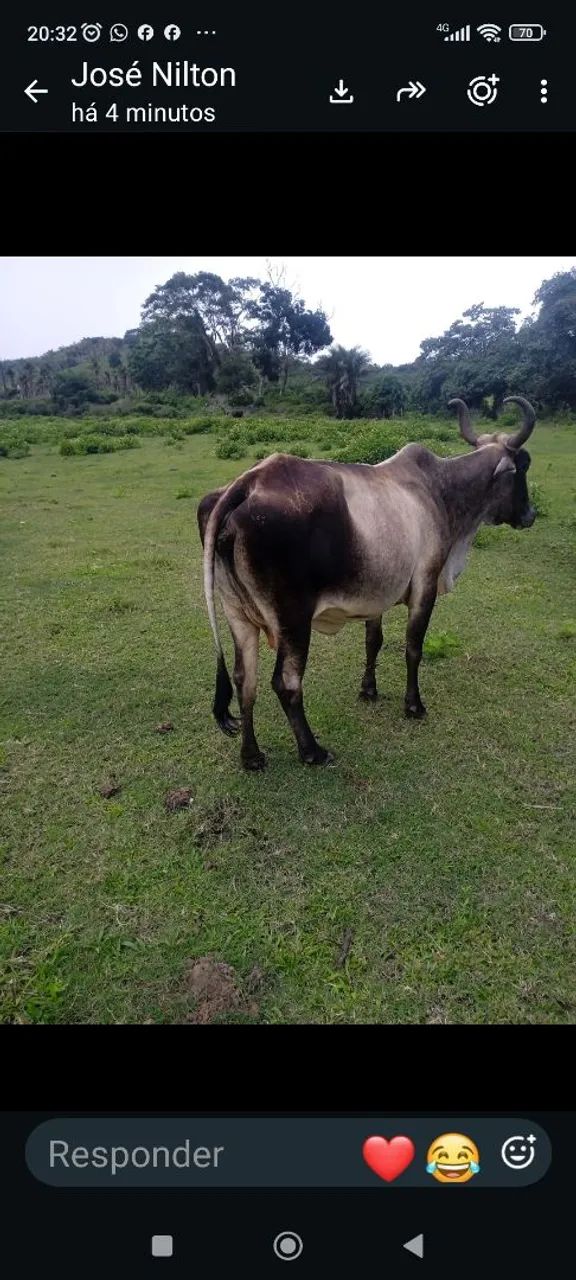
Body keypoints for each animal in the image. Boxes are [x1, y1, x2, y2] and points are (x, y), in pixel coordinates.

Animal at [197, 396, 536, 771]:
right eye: (523, 466)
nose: (530, 515)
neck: (440, 491)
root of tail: (247, 484)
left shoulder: (377, 595)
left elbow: (373, 642)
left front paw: (369, 690)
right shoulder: (425, 585)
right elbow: (413, 647)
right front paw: (413, 705)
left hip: (237, 614)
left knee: (245, 680)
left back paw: (252, 756)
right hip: (293, 620)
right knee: (286, 683)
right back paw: (312, 751)